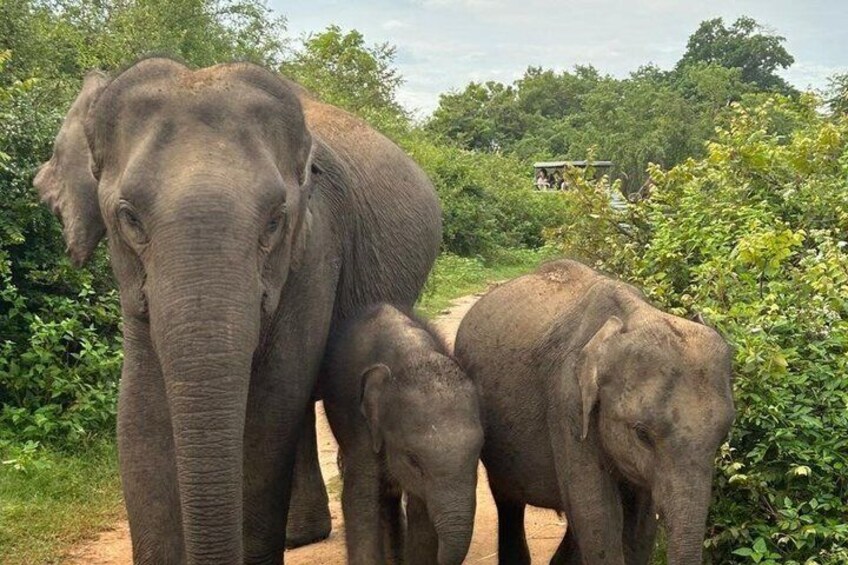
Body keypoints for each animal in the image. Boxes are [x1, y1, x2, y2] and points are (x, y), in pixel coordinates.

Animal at [34, 58, 442, 564]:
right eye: (128, 218)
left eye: (274, 221)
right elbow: (139, 407)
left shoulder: (315, 246)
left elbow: (273, 399)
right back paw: (300, 537)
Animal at [320, 303, 483, 565]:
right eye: (413, 459)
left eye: (478, 454)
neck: (413, 355)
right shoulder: (360, 426)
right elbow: (361, 500)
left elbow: (421, 511)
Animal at [454, 260, 735, 565]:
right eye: (642, 434)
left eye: (722, 437)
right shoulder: (568, 404)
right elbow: (597, 514)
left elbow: (640, 523)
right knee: (508, 500)